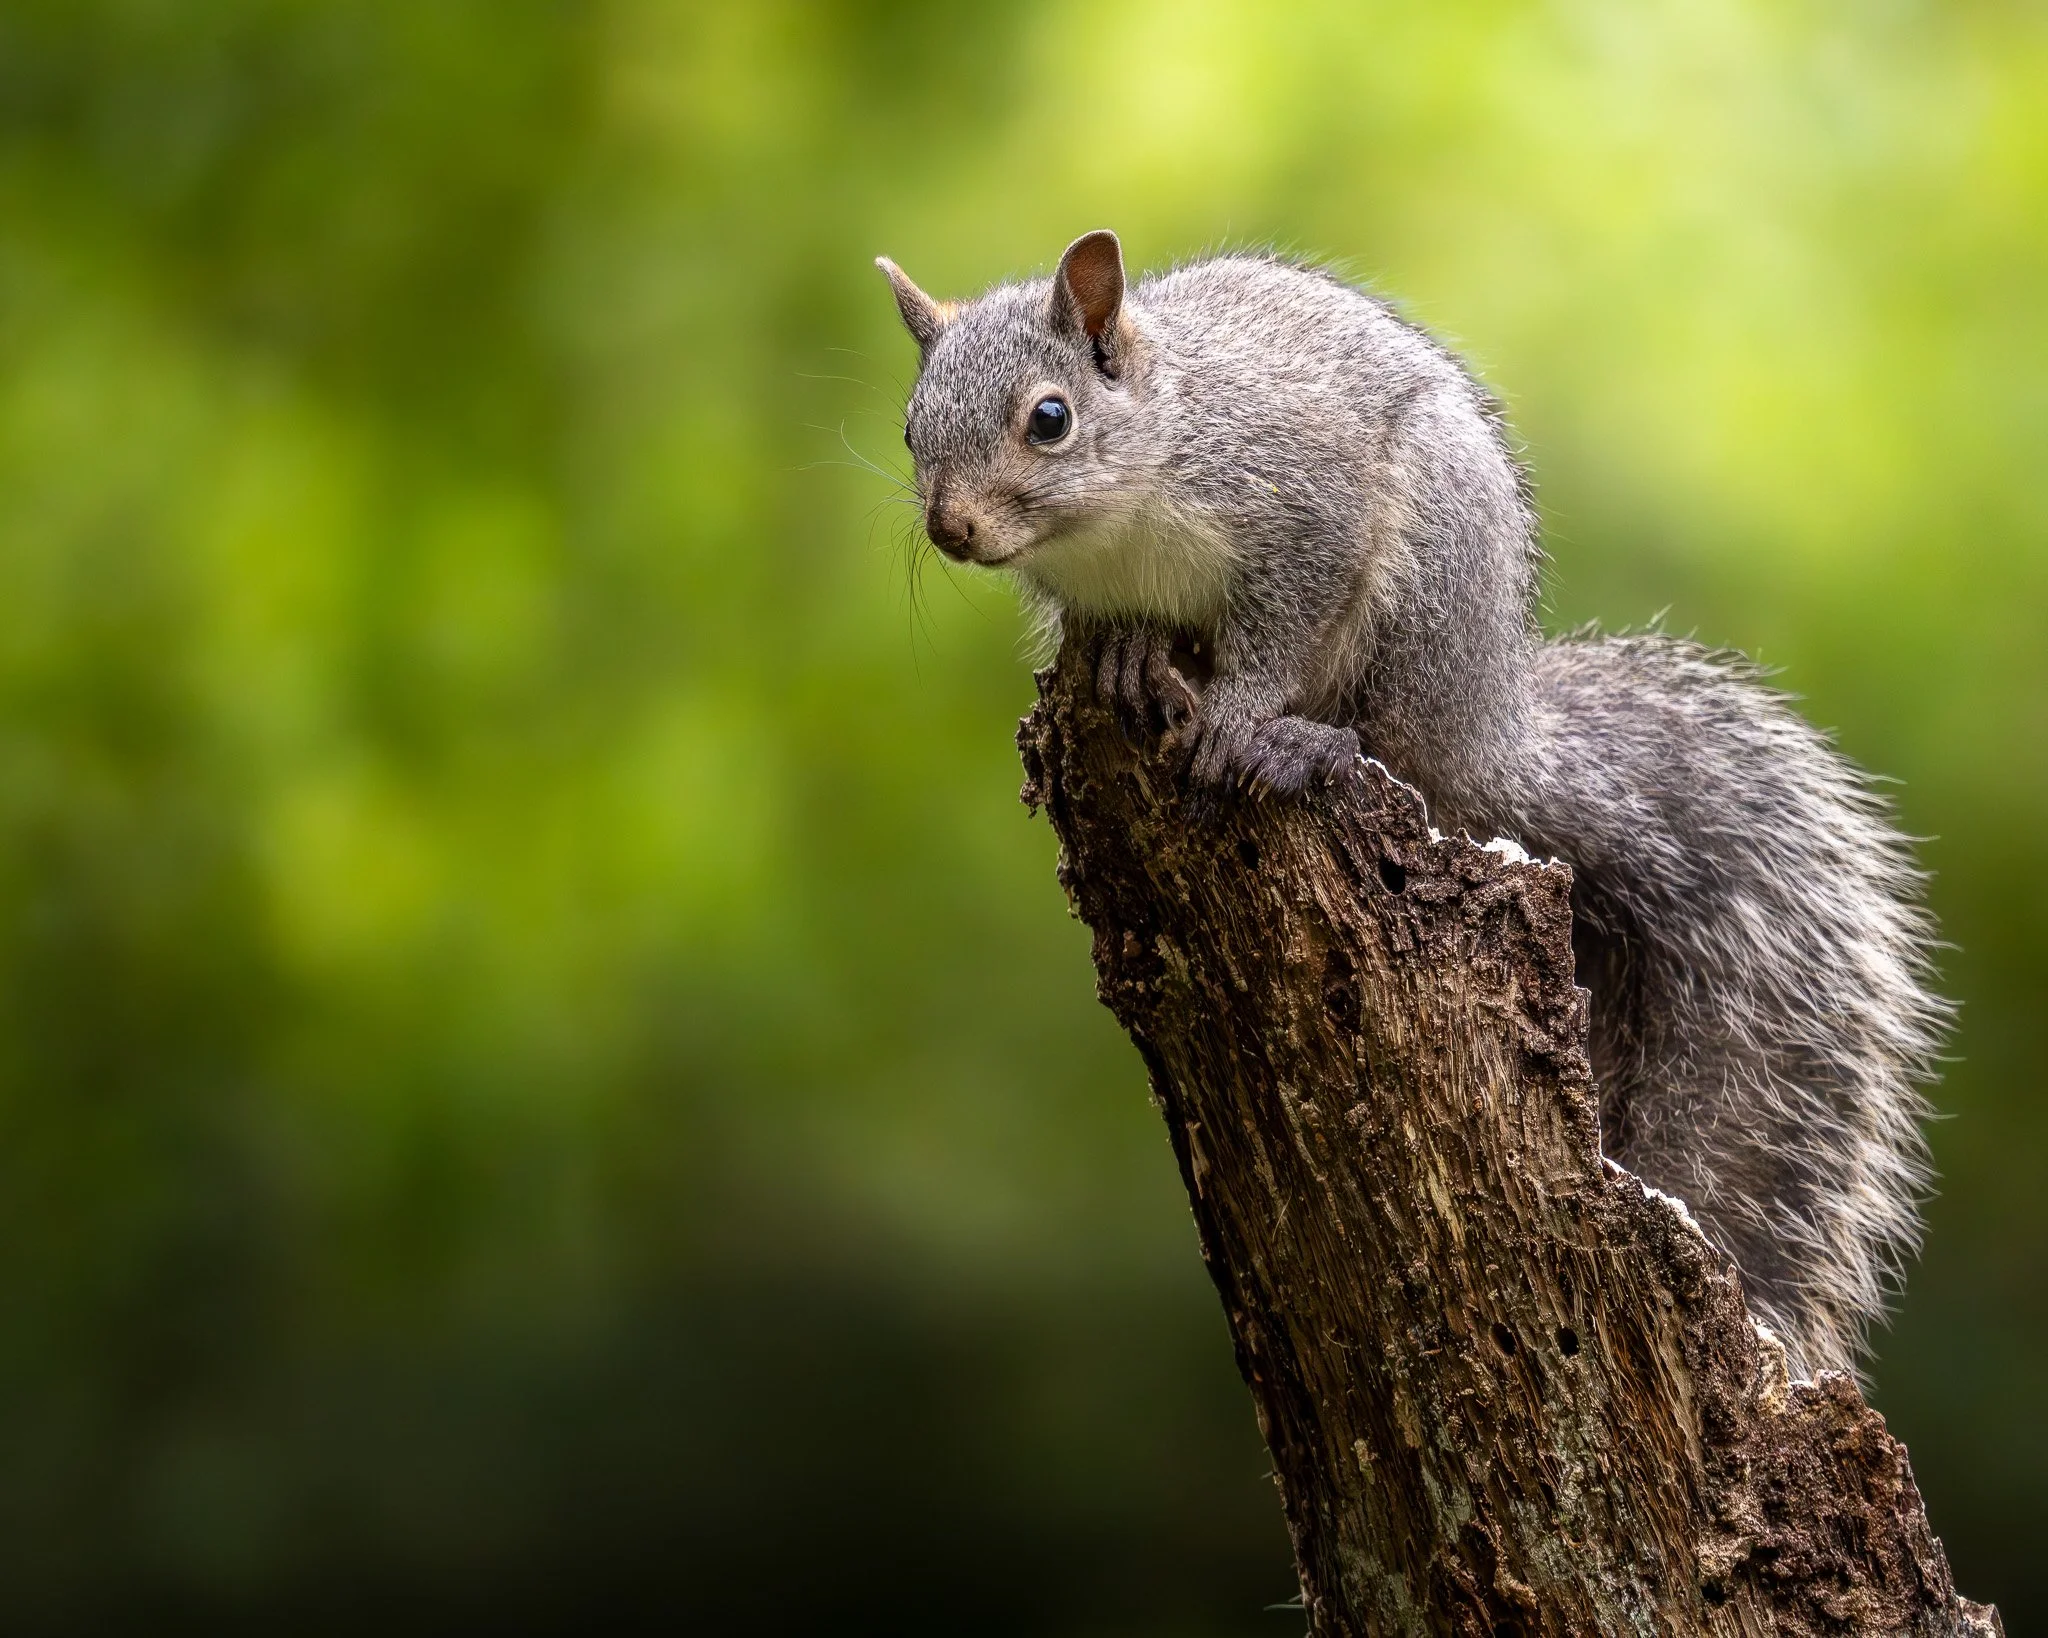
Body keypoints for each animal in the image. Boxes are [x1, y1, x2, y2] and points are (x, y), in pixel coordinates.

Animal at [875, 229, 1946, 1381]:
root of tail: (1488, 727)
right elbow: (1123, 627)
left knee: (1387, 743)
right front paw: (1131, 653)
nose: (951, 529)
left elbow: (1278, 634)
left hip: (1420, 594)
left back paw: (1305, 743)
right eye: (910, 425)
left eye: (1049, 417)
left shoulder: (1304, 509)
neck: (1134, 484)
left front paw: (1235, 718)